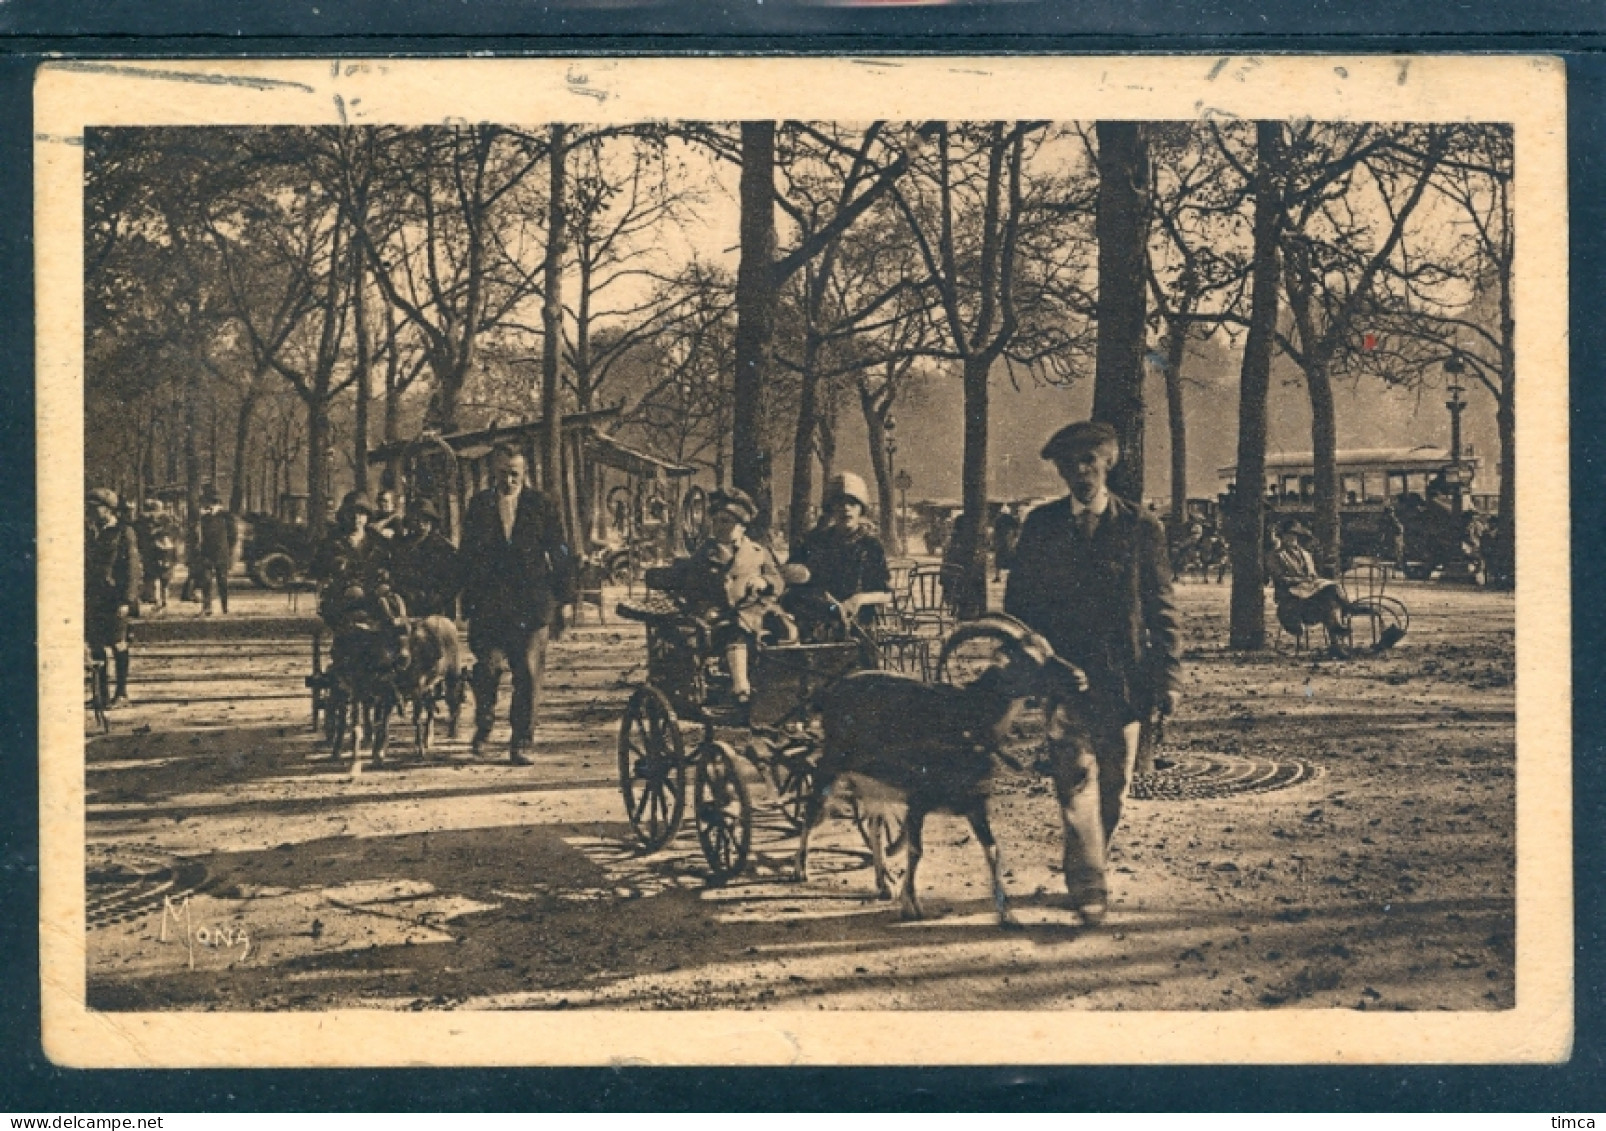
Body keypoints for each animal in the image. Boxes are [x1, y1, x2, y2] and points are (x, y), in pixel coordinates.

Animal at [793, 616, 1092, 925]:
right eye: (1029, 659)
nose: (1079, 676)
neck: (966, 723)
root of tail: (831, 692)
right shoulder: (917, 800)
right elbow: (916, 850)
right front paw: (911, 906)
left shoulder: (975, 804)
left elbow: (993, 849)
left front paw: (1008, 915)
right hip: (832, 763)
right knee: (813, 808)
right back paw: (801, 870)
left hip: (874, 784)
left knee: (874, 826)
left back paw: (883, 884)